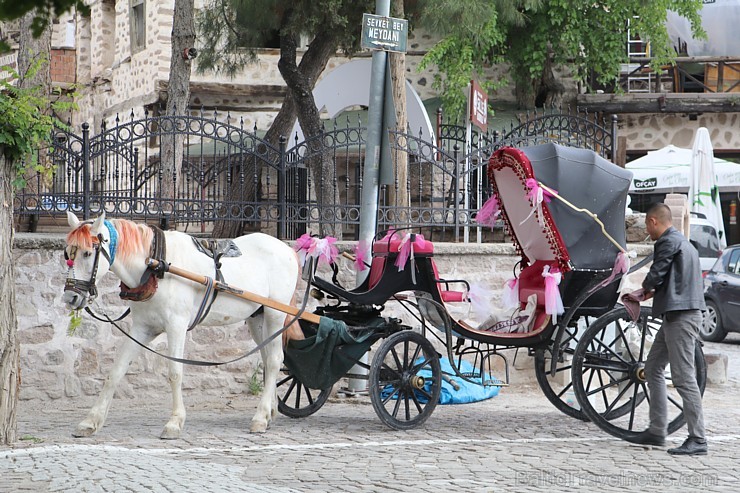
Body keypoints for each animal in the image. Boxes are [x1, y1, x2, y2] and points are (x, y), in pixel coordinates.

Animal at [60, 211, 298, 438]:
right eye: (67, 253)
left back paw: (260, 417)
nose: (70, 297)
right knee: (268, 358)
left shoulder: (177, 325)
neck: (155, 265)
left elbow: (175, 373)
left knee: (275, 360)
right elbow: (116, 372)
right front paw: (91, 421)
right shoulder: (142, 328)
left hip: (275, 314)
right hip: (257, 318)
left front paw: (174, 422)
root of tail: (287, 249)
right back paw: (269, 412)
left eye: (87, 253)